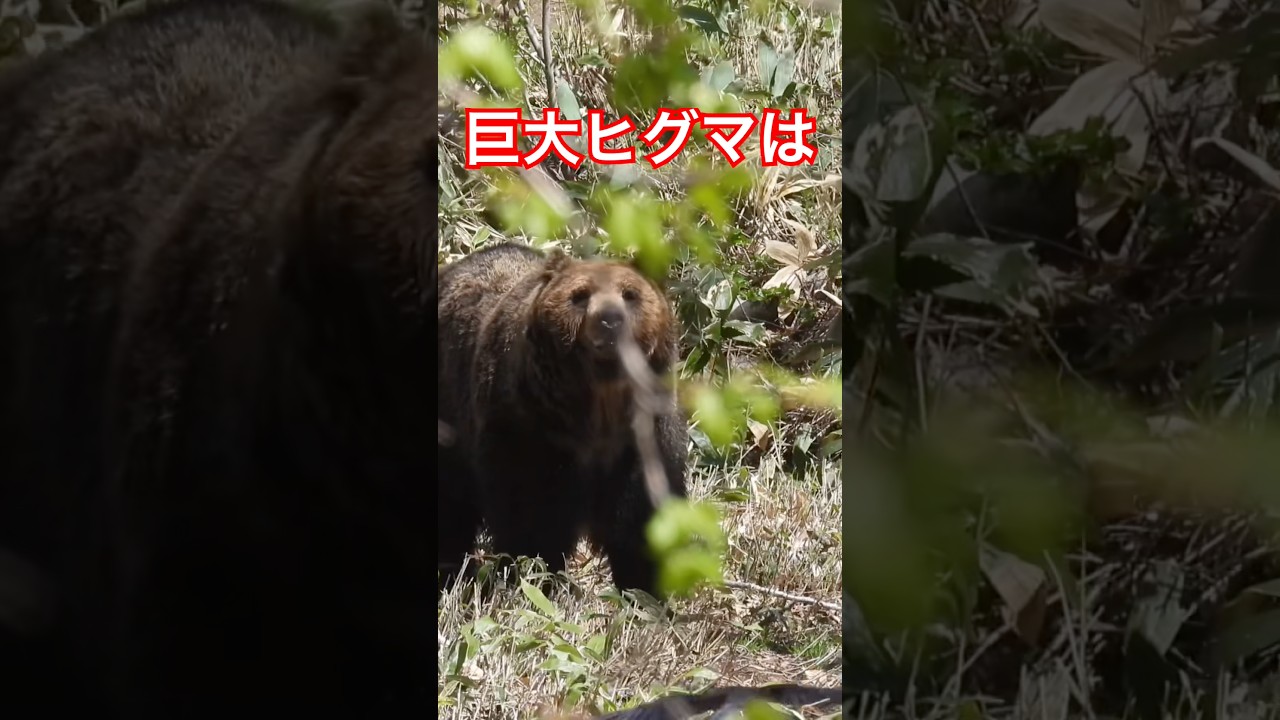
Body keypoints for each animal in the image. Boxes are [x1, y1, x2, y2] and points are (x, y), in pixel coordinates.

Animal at [436, 242, 689, 598]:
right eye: (580, 295)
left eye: (630, 293)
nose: (610, 320)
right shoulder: (531, 431)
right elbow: (531, 515)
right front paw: (533, 578)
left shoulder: (641, 437)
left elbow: (641, 517)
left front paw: (644, 590)